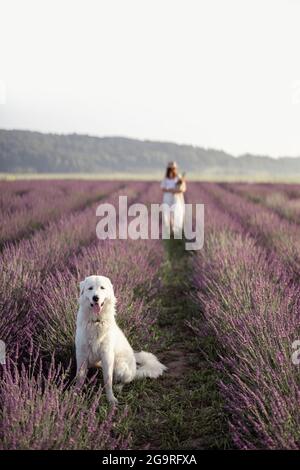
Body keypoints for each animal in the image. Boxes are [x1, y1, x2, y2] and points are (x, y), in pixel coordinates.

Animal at [74, 276, 165, 404]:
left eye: (102, 288)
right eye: (90, 288)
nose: (95, 298)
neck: (96, 322)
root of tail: (135, 369)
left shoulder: (107, 355)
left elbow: (108, 380)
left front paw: (111, 399)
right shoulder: (81, 353)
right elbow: (80, 377)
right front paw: (75, 394)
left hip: (120, 366)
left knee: (125, 380)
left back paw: (118, 387)